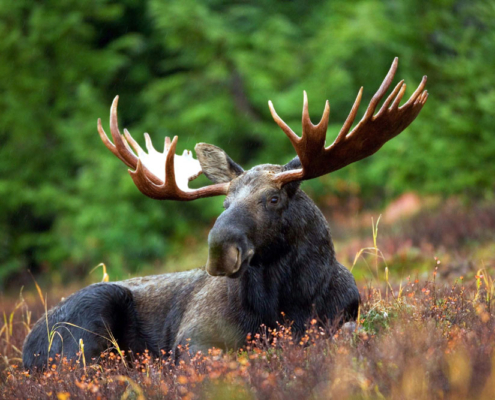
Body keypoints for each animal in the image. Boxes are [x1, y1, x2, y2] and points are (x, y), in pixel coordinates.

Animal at [23, 57, 428, 370]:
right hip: (87, 320)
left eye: (273, 199)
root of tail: (26, 348)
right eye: (224, 204)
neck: (289, 302)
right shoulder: (193, 339)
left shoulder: (343, 317)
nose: (220, 250)